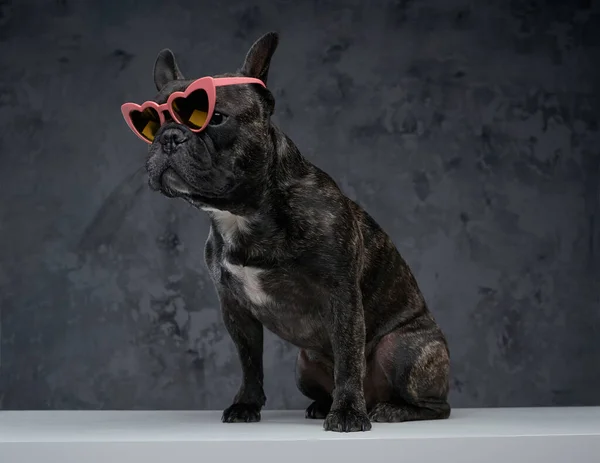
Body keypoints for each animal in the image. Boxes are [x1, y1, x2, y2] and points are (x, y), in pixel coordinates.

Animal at [142, 31, 450, 432]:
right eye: (150, 125)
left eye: (216, 118)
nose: (167, 137)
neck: (243, 213)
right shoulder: (235, 310)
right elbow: (250, 364)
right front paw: (246, 404)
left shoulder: (342, 296)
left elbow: (348, 358)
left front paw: (347, 412)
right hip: (303, 364)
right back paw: (323, 405)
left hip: (404, 350)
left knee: (435, 405)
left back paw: (389, 409)